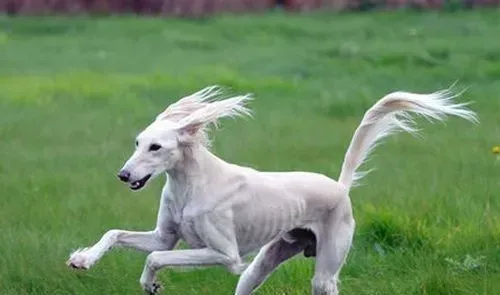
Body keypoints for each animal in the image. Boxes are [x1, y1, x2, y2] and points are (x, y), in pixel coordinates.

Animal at [66, 84, 476, 294]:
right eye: (137, 143)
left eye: (156, 147)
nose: (123, 175)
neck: (190, 185)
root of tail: (339, 186)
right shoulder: (165, 237)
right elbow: (117, 233)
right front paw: (83, 259)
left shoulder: (226, 256)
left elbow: (154, 258)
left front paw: (149, 283)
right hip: (261, 266)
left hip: (323, 274)